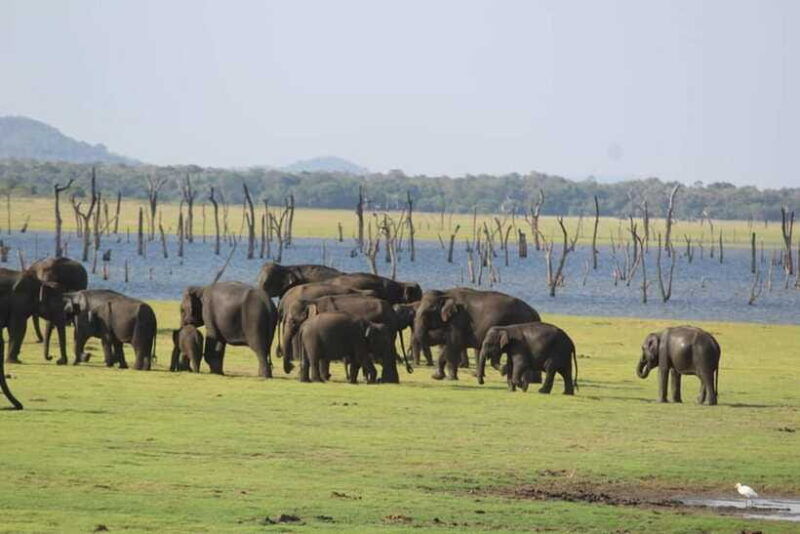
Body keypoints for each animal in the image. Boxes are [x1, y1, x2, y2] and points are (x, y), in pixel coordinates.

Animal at [413, 288, 541, 380]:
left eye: (428, 312)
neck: (445, 293)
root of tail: (535, 313)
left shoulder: (458, 321)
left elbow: (452, 346)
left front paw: (450, 378)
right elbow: (447, 346)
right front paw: (437, 376)